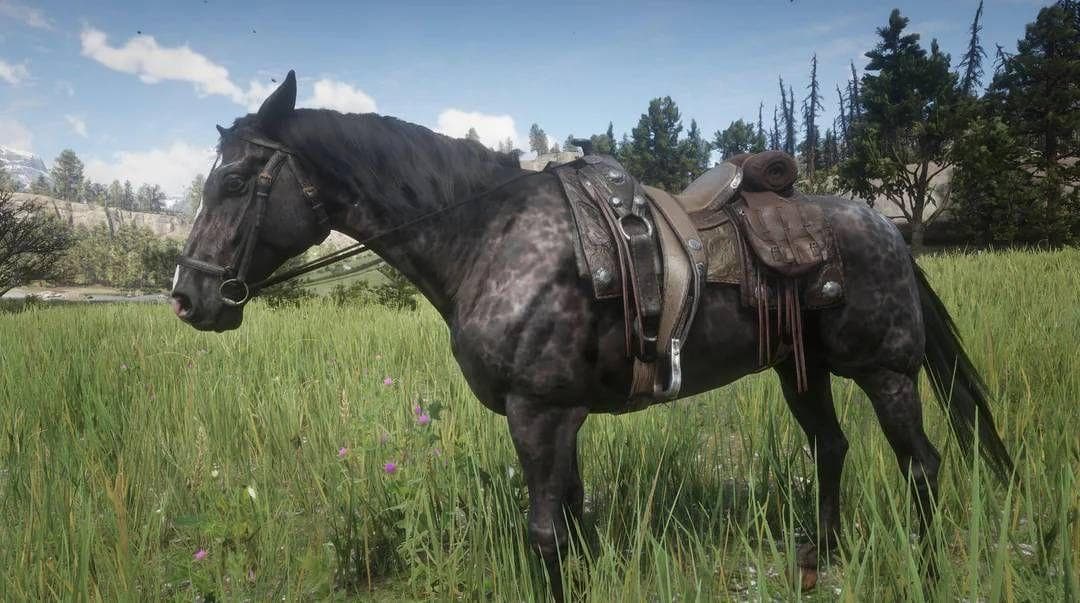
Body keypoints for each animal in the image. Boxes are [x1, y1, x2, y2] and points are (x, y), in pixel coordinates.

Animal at [171, 72, 1012, 599]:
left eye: (237, 182)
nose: (188, 294)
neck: (492, 236)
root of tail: (887, 227)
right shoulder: (561, 416)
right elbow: (573, 523)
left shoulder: (537, 412)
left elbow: (546, 533)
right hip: (798, 369)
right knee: (830, 447)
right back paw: (822, 557)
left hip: (886, 371)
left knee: (922, 465)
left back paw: (926, 571)